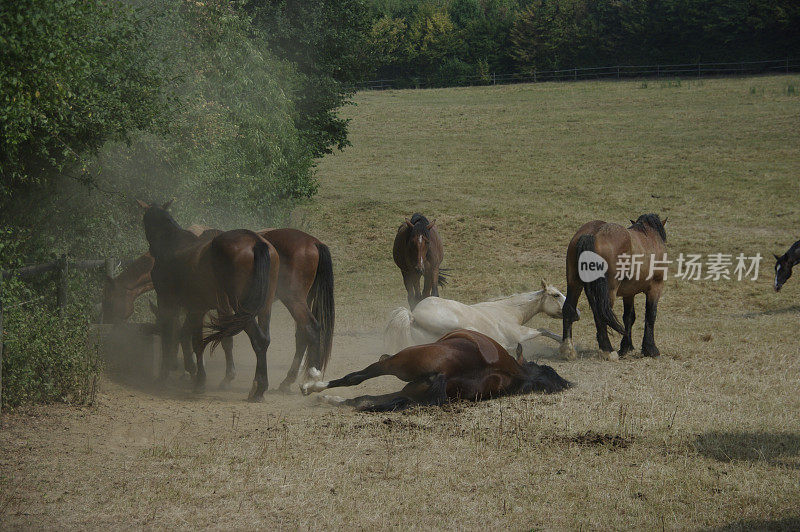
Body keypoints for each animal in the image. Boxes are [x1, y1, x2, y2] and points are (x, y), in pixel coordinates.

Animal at [134, 202, 278, 402]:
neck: (172, 245)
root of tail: (255, 242)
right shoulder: (197, 308)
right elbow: (188, 336)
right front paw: (193, 371)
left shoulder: (167, 303)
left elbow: (174, 337)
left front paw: (175, 377)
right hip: (263, 307)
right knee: (265, 339)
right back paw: (257, 386)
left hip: (242, 309)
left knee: (259, 339)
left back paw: (258, 388)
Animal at [298, 328, 568, 412]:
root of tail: (445, 373)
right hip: (409, 391)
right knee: (364, 399)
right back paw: (329, 398)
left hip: (396, 365)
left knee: (357, 379)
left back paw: (313, 386)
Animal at [382, 280, 576, 356]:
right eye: (556, 295)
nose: (576, 313)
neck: (509, 311)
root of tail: (412, 315)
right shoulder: (519, 333)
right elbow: (544, 330)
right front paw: (567, 349)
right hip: (457, 325)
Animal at [564, 213, 668, 362]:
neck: (650, 236)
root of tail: (592, 234)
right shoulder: (655, 287)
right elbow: (650, 315)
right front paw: (651, 349)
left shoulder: (629, 293)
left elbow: (629, 317)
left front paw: (626, 347)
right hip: (608, 292)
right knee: (600, 314)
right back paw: (608, 350)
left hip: (574, 283)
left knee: (568, 308)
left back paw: (567, 350)